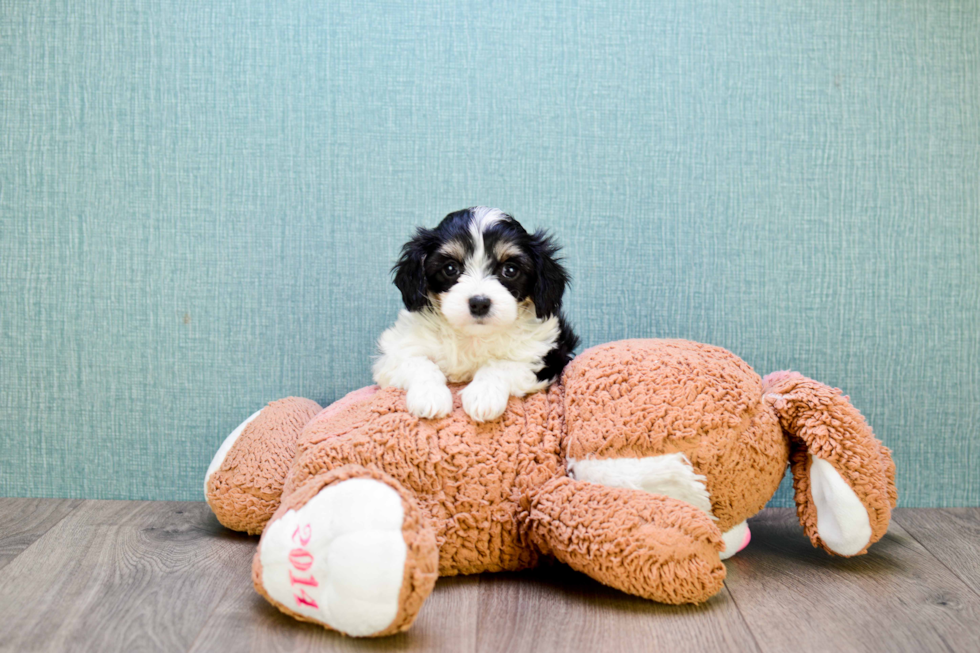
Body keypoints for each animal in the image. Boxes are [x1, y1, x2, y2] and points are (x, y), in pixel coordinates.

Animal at [374, 208, 576, 422]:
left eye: (510, 270)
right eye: (450, 268)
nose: (479, 303)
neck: (473, 335)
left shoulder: (546, 357)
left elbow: (501, 365)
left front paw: (483, 396)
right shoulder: (394, 352)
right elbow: (418, 363)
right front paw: (430, 396)